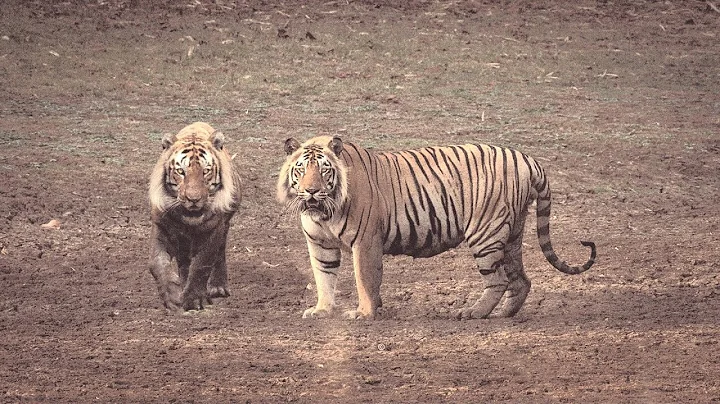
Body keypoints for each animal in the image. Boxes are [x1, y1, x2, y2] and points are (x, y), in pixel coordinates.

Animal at [148, 122, 242, 312]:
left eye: (206, 171)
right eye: (180, 171)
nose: (193, 199)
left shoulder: (214, 229)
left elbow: (201, 264)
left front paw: (193, 300)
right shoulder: (161, 226)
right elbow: (157, 262)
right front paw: (173, 297)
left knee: (219, 255)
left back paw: (218, 287)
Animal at [277, 135, 596, 320]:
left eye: (324, 169)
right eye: (301, 168)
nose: (311, 191)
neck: (323, 213)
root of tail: (527, 159)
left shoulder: (365, 241)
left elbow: (365, 280)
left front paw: (364, 313)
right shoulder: (320, 244)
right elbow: (324, 277)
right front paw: (322, 310)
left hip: (486, 233)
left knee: (499, 280)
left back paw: (473, 312)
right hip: (512, 233)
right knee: (521, 280)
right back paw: (505, 313)